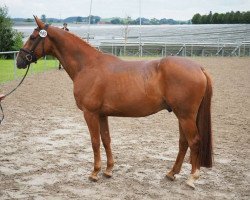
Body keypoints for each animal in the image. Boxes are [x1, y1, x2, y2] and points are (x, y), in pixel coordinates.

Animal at [16, 16, 213, 188]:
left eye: (32, 37)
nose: (19, 61)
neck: (88, 66)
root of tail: (199, 68)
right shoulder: (102, 114)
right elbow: (106, 140)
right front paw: (109, 170)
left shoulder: (90, 113)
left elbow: (95, 141)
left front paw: (95, 173)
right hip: (181, 115)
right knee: (183, 142)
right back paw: (171, 173)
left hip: (186, 116)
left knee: (194, 141)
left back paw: (192, 178)